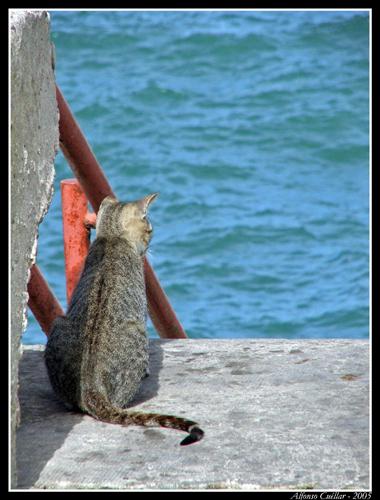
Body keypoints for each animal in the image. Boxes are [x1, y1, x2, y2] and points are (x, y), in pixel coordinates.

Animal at [44, 194, 203, 446]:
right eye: (150, 229)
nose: (150, 241)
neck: (111, 236)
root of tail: (92, 389)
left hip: (58, 323)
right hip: (138, 333)